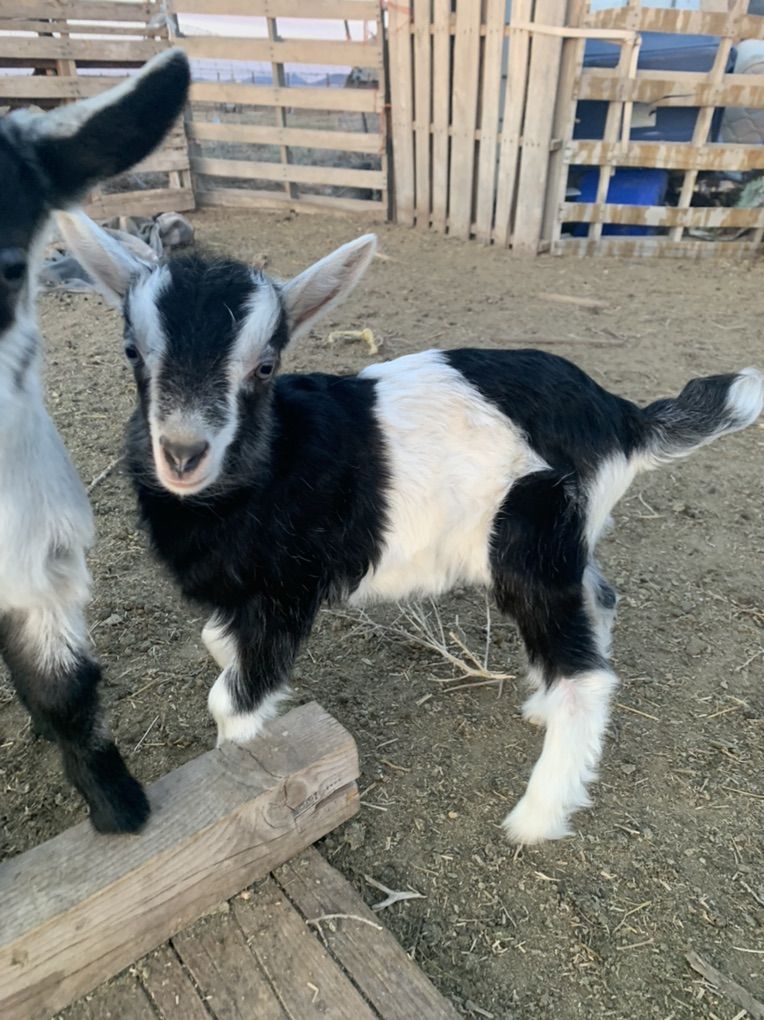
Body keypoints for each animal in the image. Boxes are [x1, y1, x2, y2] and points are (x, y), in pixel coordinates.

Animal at [56, 214, 764, 843]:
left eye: (265, 365)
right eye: (131, 352)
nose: (183, 453)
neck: (267, 466)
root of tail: (620, 418)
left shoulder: (284, 595)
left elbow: (231, 700)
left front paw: (244, 771)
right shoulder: (241, 598)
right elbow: (216, 643)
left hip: (528, 538)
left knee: (585, 677)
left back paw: (537, 817)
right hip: (566, 535)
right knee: (601, 599)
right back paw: (541, 705)